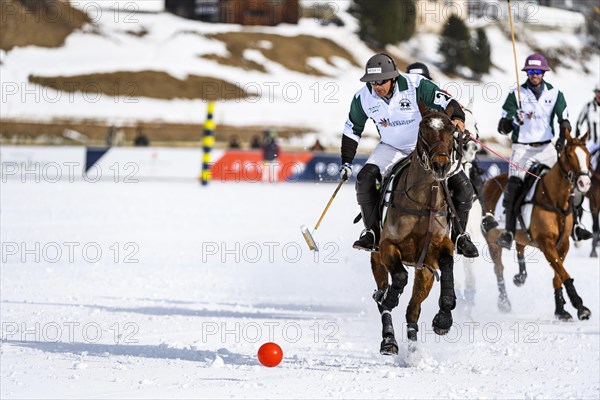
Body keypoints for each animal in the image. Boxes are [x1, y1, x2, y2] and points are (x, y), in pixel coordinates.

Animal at [368, 107, 458, 356]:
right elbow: (398, 278)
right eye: (423, 129)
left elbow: (448, 263)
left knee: (413, 309)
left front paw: (443, 319)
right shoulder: (387, 246)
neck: (422, 201)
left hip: (425, 272)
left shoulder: (438, 249)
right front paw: (388, 299)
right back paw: (389, 340)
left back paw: (413, 351)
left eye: (451, 130)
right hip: (376, 259)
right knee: (385, 296)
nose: (440, 165)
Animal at [482, 130, 592, 320]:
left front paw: (560, 310)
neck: (554, 200)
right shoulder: (545, 242)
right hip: (492, 240)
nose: (584, 183)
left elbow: (558, 275)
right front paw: (580, 306)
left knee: (519, 247)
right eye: (569, 155)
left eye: (588, 155)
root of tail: (489, 181)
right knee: (499, 269)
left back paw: (520, 277)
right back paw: (504, 303)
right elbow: (563, 272)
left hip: (520, 236)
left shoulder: (563, 244)